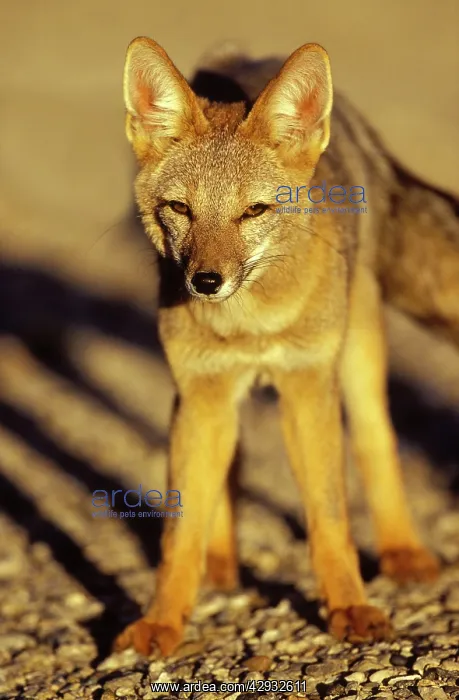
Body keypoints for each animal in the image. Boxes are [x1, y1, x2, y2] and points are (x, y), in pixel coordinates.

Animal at [114, 36, 459, 657]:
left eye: (254, 210)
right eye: (180, 209)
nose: (206, 282)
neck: (250, 327)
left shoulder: (307, 388)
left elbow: (329, 518)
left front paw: (349, 607)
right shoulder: (202, 393)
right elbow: (180, 531)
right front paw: (163, 620)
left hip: (357, 358)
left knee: (377, 441)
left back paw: (403, 553)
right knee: (231, 466)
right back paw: (221, 565)